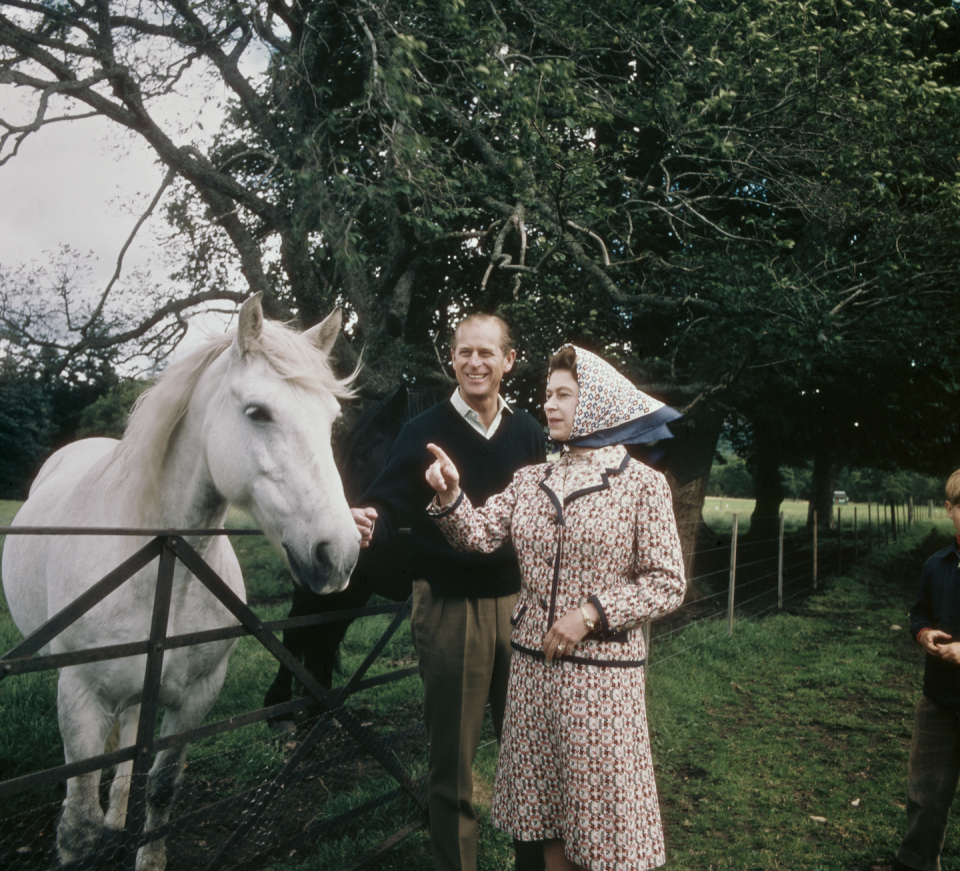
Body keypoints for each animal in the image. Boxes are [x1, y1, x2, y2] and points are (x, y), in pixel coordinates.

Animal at [0, 294, 360, 871]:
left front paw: (147, 855)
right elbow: (77, 824)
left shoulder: (196, 698)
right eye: (257, 412)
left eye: (330, 419)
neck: (159, 565)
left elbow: (162, 787)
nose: (340, 554)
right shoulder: (79, 697)